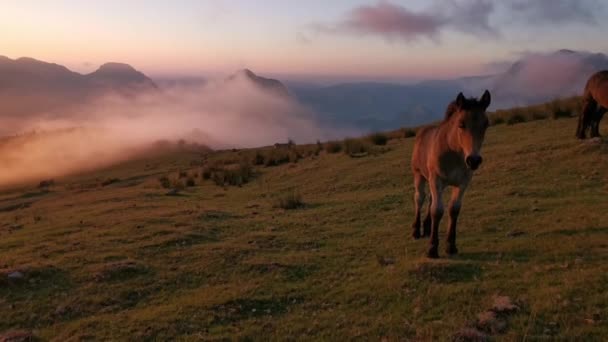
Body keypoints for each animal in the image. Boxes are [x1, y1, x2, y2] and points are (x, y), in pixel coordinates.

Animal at [410, 89, 492, 258]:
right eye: (461, 124)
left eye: (486, 124)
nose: (474, 160)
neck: (454, 152)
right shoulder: (436, 180)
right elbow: (437, 210)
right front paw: (432, 249)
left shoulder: (463, 183)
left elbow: (453, 210)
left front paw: (451, 246)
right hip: (419, 175)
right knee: (420, 198)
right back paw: (416, 231)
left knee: (430, 199)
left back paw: (427, 228)